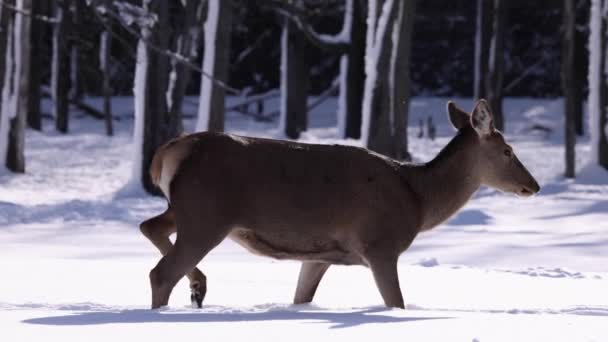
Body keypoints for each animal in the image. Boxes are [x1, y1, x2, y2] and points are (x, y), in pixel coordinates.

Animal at [140, 99, 540, 310]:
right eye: (508, 150)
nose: (533, 185)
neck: (418, 199)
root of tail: (167, 153)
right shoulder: (380, 244)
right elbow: (396, 302)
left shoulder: (320, 254)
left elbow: (301, 298)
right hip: (207, 213)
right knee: (161, 272)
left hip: (187, 208)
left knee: (149, 225)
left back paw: (199, 286)